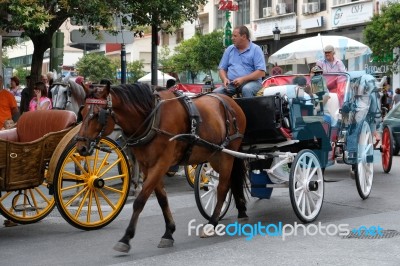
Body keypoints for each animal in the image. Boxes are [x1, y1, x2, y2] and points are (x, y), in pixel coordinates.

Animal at [75, 83, 247, 254]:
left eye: (98, 114)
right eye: (82, 112)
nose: (81, 147)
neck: (152, 120)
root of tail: (231, 102)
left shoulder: (161, 164)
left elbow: (140, 200)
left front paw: (126, 238)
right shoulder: (147, 166)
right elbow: (162, 199)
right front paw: (168, 233)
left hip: (228, 155)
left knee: (222, 187)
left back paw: (212, 223)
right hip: (215, 155)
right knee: (229, 182)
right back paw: (240, 211)